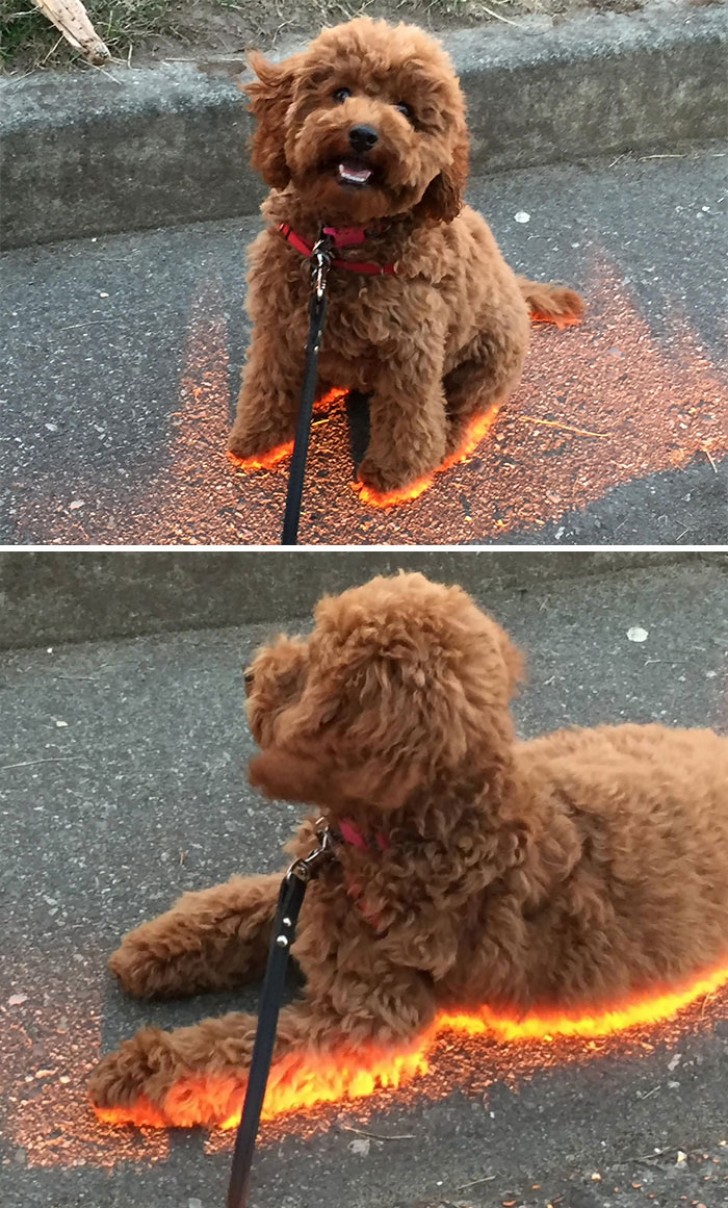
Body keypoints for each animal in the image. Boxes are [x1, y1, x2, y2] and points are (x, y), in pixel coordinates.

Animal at [89, 570, 728, 1125]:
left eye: (314, 672)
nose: (247, 673)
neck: (427, 834)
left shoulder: (366, 1017)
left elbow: (238, 1051)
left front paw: (139, 1072)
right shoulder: (308, 890)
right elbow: (237, 907)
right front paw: (154, 950)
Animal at [228, 15, 586, 495]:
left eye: (405, 110)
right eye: (340, 93)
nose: (363, 134)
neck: (338, 244)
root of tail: (515, 285)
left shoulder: (410, 351)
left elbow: (407, 416)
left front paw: (393, 478)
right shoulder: (278, 328)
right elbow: (268, 382)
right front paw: (259, 438)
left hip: (487, 362)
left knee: (464, 413)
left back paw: (444, 448)